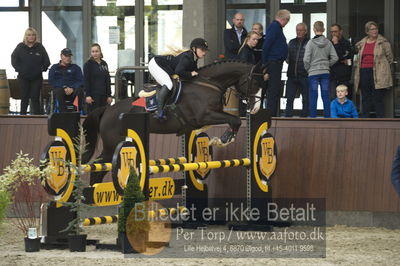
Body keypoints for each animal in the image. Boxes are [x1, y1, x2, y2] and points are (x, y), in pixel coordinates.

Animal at [82, 60, 262, 185]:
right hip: (112, 144)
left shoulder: (204, 120)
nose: (256, 108)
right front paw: (223, 139)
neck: (210, 84)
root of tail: (107, 110)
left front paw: (222, 139)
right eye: (254, 83)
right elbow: (234, 119)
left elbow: (232, 121)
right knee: (98, 168)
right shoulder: (205, 116)